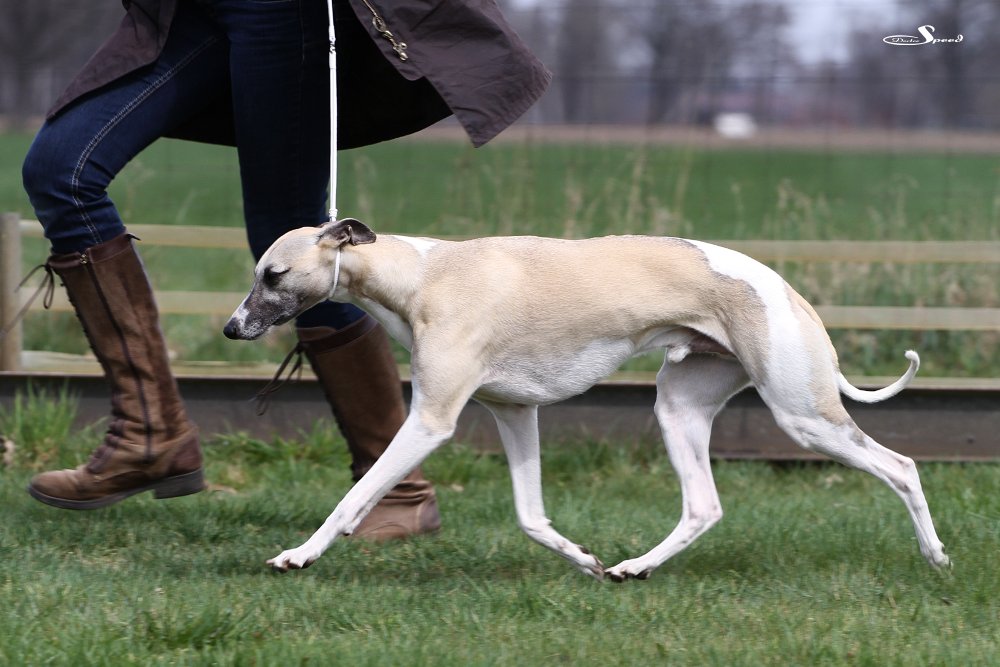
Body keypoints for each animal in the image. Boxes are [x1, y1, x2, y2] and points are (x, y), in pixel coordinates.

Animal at [223, 218, 948, 580]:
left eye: (273, 273)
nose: (231, 327)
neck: (423, 274)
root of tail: (789, 290)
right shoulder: (515, 413)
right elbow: (530, 516)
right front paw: (583, 559)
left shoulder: (431, 420)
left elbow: (355, 494)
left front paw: (299, 554)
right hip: (679, 407)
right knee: (704, 506)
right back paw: (633, 567)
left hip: (802, 413)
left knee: (902, 466)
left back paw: (936, 557)